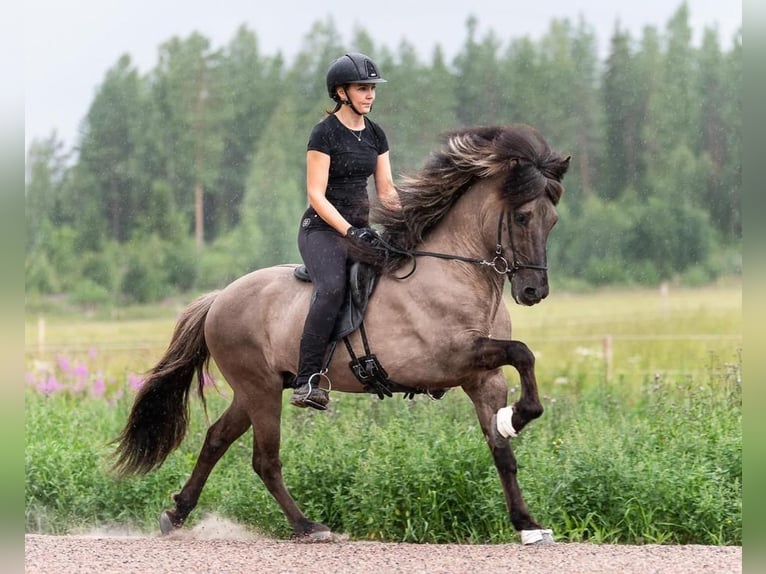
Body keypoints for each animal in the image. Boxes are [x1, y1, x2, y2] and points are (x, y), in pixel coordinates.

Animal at [112, 124, 568, 548]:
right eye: (523, 217)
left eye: (553, 221)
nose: (534, 292)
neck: (456, 270)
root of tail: (219, 297)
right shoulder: (452, 358)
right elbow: (523, 353)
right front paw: (519, 417)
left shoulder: (482, 378)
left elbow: (502, 451)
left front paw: (527, 522)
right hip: (260, 389)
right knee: (265, 460)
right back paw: (308, 526)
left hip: (253, 389)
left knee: (216, 440)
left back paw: (176, 514)